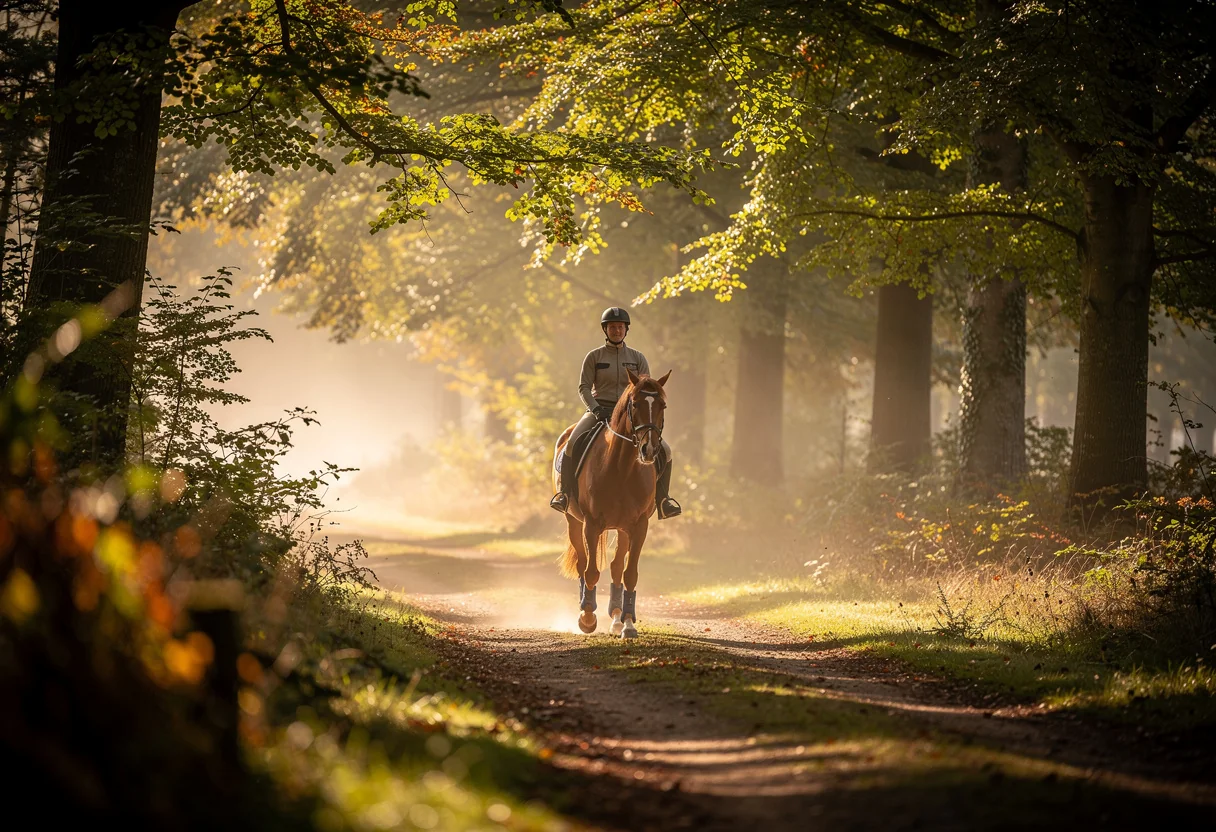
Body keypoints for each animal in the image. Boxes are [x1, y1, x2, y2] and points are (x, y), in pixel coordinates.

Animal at [553, 368, 670, 639]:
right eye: (635, 404)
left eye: (662, 405)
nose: (649, 450)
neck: (622, 468)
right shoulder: (592, 524)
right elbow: (591, 571)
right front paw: (587, 618)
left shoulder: (639, 526)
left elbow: (629, 574)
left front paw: (628, 623)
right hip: (573, 521)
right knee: (583, 564)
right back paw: (587, 608)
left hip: (623, 528)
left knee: (617, 568)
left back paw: (618, 618)